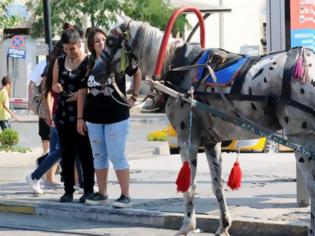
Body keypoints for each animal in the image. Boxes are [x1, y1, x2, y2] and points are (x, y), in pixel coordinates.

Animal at [90, 20, 315, 236]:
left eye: (110, 41)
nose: (95, 73)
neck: (180, 67)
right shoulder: (210, 142)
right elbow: (217, 184)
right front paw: (223, 226)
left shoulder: (187, 139)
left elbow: (189, 185)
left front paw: (187, 225)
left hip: (301, 139)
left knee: (312, 187)